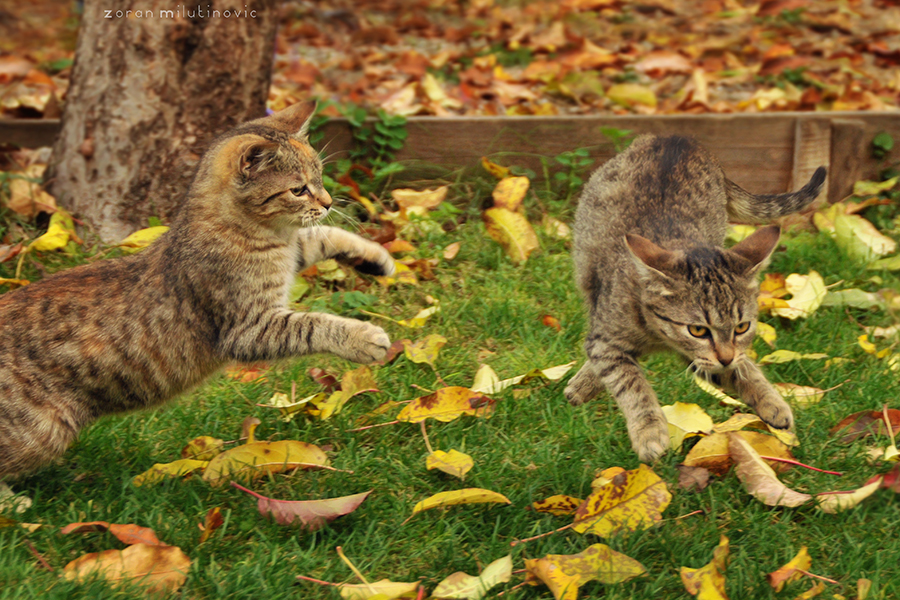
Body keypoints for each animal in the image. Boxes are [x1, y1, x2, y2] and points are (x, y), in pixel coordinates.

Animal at [0, 102, 394, 478]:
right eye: (299, 189)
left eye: (321, 179)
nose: (328, 202)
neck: (264, 235)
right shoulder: (248, 328)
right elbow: (312, 324)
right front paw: (363, 338)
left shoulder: (292, 253)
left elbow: (322, 237)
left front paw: (378, 257)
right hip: (41, 431)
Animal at [568, 136, 828, 462]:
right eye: (698, 330)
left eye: (742, 327)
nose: (725, 356)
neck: (657, 335)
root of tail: (677, 138)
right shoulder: (606, 339)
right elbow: (630, 382)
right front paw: (649, 430)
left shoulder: (711, 358)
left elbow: (742, 369)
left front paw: (771, 401)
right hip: (585, 266)